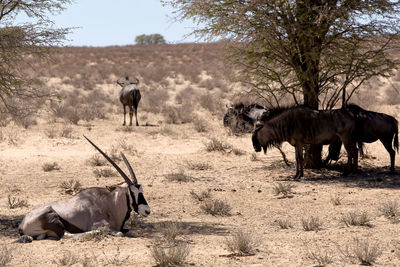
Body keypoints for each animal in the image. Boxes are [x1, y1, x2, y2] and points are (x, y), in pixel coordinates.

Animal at [18, 137, 151, 242]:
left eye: (141, 190)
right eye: (132, 192)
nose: (147, 211)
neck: (110, 204)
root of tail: (22, 225)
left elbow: (129, 231)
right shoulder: (97, 224)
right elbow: (118, 232)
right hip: (54, 218)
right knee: (65, 235)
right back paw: (96, 233)